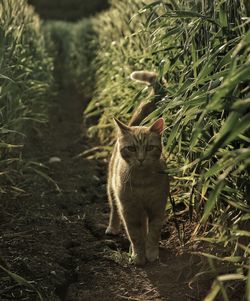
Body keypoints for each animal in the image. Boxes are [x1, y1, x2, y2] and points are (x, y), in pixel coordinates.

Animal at [105, 69, 170, 262]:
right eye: (132, 148)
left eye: (149, 148)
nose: (141, 159)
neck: (142, 182)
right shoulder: (129, 209)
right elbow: (134, 234)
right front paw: (139, 256)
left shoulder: (157, 206)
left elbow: (153, 233)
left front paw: (151, 253)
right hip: (111, 187)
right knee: (114, 208)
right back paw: (113, 227)